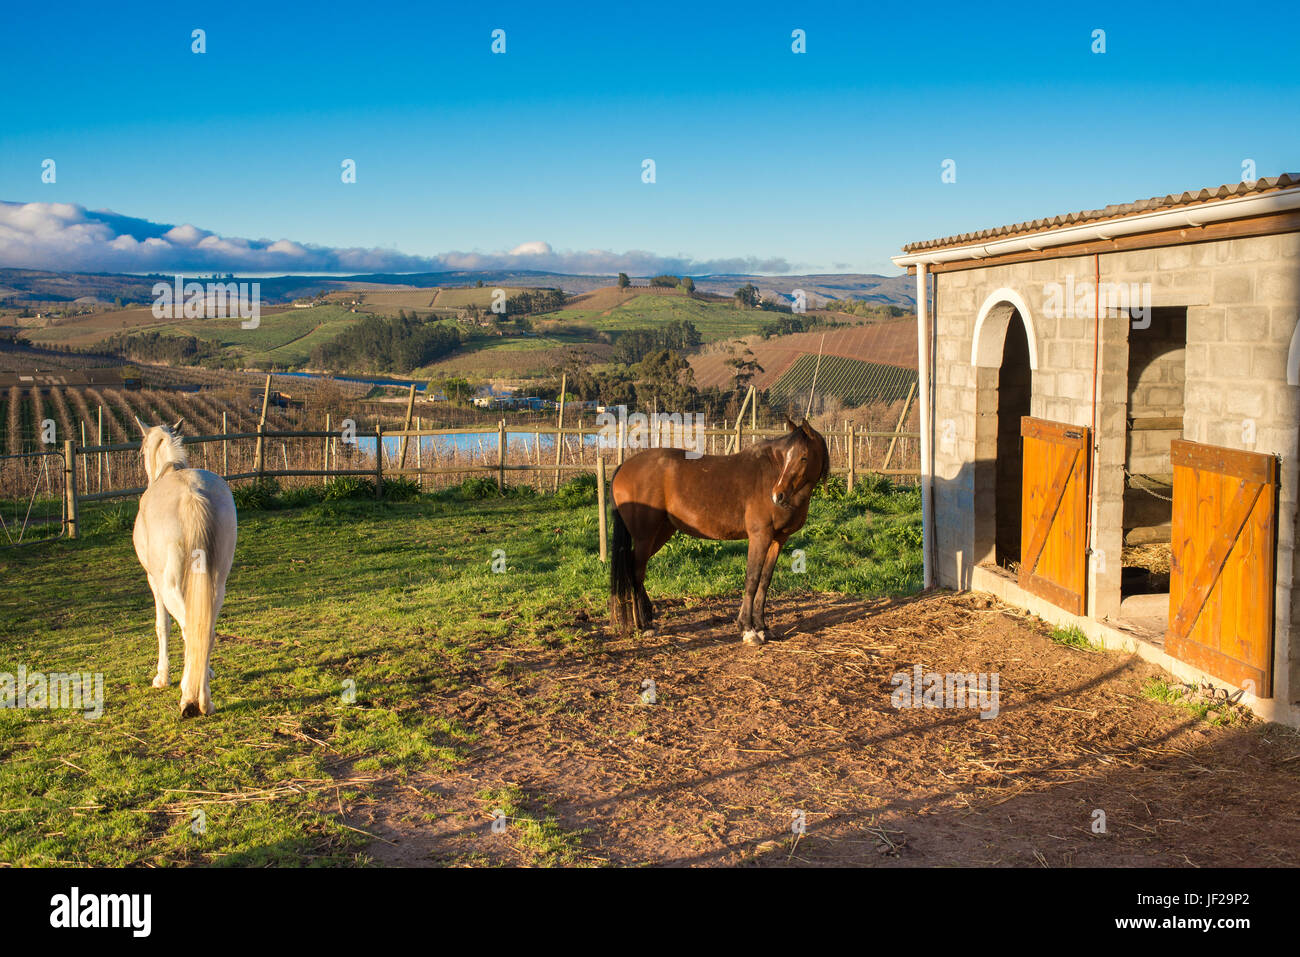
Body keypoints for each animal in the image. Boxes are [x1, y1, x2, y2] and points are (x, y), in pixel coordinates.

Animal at [133, 421, 237, 717]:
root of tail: (193, 493)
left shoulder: (154, 581)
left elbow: (163, 626)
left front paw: (162, 677)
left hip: (168, 585)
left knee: (190, 629)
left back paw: (190, 699)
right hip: (218, 583)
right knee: (206, 631)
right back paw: (204, 698)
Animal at [611, 416, 832, 642]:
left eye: (803, 457)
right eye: (786, 457)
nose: (777, 495)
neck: (771, 472)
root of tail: (624, 466)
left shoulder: (779, 539)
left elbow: (765, 580)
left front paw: (762, 627)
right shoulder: (759, 536)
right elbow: (752, 579)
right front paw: (748, 629)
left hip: (661, 533)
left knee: (634, 568)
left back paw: (647, 617)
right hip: (645, 537)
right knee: (636, 572)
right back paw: (643, 625)